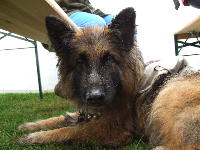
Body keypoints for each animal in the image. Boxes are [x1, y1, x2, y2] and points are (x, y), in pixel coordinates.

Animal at [17, 7, 200, 150]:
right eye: (80, 61)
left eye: (109, 59)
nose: (95, 97)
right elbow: (61, 118)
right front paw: (32, 125)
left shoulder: (114, 127)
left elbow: (74, 130)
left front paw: (36, 136)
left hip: (170, 91)